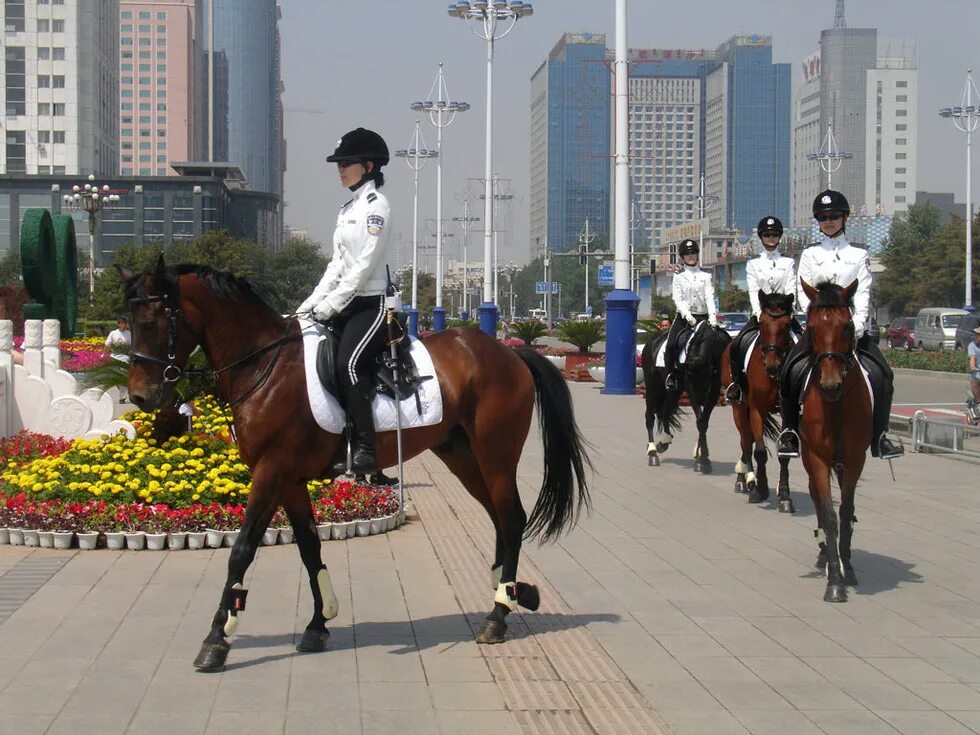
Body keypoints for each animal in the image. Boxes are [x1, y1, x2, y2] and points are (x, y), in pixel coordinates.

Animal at [118, 256, 592, 668]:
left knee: (511, 519)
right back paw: (510, 593)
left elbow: (242, 550)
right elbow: (309, 548)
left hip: (496, 455)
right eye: (127, 325)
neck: (264, 366)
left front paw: (217, 638)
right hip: (461, 456)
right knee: (499, 518)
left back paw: (498, 614)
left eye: (150, 323)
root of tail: (507, 353)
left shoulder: (270, 473)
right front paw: (318, 623)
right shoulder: (289, 480)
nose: (140, 396)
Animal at [720, 292, 796, 512]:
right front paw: (759, 489)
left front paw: (785, 496)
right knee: (746, 440)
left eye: (787, 324)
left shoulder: (788, 412)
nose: (772, 365)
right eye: (762, 322)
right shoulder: (756, 410)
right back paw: (745, 480)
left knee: (749, 440)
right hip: (738, 407)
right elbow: (760, 451)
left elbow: (784, 452)